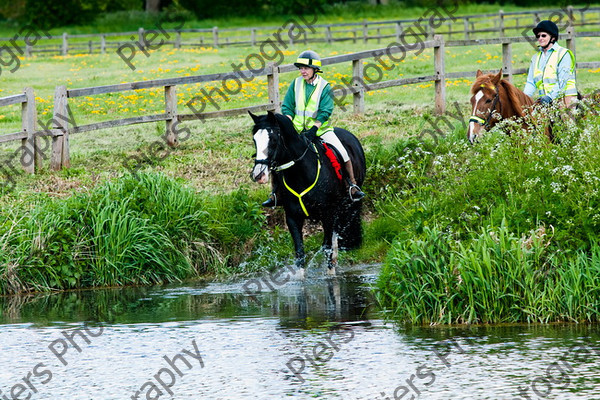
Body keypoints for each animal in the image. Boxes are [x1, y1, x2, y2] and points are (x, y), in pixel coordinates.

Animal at [250, 111, 366, 276]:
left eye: (273, 139)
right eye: (254, 139)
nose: (258, 175)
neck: (301, 173)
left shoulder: (327, 214)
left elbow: (327, 248)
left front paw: (331, 275)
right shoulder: (293, 218)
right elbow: (300, 253)